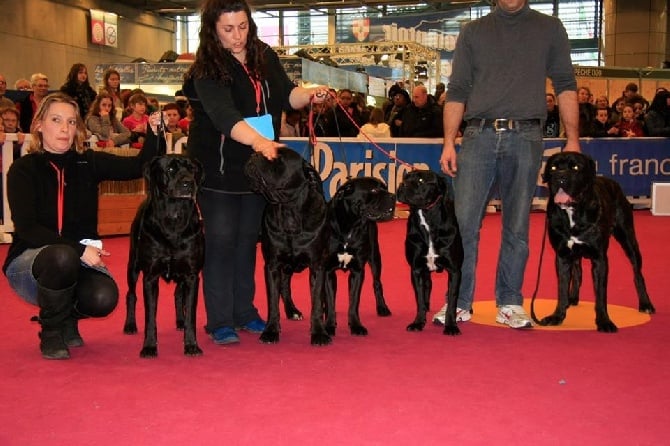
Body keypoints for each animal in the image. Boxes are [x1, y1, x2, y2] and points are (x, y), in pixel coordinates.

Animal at [122, 155, 203, 358]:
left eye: (192, 169)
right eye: (171, 169)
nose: (188, 183)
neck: (174, 217)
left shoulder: (191, 275)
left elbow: (191, 314)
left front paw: (191, 344)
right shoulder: (150, 276)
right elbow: (150, 317)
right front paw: (149, 346)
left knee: (178, 294)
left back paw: (180, 321)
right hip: (133, 265)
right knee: (131, 294)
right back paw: (130, 325)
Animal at [326, 176, 400, 336]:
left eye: (385, 187)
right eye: (373, 190)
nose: (393, 196)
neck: (350, 226)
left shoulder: (358, 271)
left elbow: (354, 300)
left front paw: (355, 325)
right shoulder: (327, 271)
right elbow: (330, 301)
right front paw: (329, 325)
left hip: (375, 257)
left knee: (377, 283)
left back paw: (382, 308)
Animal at [396, 170, 464, 334]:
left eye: (421, 180)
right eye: (405, 177)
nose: (402, 184)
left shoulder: (454, 270)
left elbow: (452, 300)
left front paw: (451, 326)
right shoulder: (417, 270)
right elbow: (419, 298)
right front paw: (418, 322)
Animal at [540, 151, 660, 332]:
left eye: (575, 167)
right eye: (553, 167)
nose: (560, 176)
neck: (573, 212)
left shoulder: (600, 258)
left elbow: (601, 294)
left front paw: (604, 321)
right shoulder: (562, 256)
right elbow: (561, 288)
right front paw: (557, 316)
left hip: (628, 239)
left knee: (637, 273)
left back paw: (645, 304)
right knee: (578, 272)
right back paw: (572, 298)